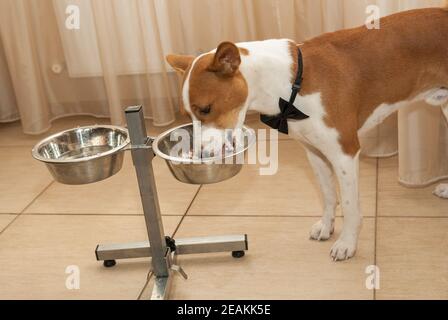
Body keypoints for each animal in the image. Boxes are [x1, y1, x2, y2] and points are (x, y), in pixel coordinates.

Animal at [165, 6, 448, 260]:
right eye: (188, 115)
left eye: (206, 108)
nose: (200, 155)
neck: (290, 86)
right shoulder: (315, 152)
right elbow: (328, 195)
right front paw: (326, 227)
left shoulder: (344, 153)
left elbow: (350, 206)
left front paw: (347, 243)